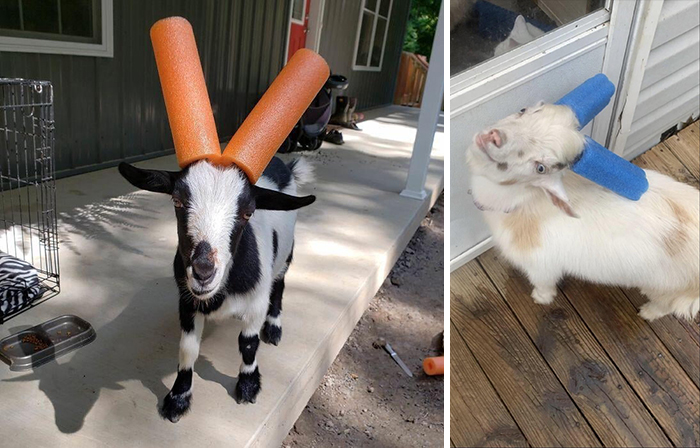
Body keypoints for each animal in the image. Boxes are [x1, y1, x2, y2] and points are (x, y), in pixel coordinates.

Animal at [119, 156, 315, 422]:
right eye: (177, 201)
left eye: (248, 212)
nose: (203, 273)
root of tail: (282, 164)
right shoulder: (187, 302)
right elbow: (188, 348)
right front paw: (178, 399)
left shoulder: (256, 301)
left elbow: (248, 343)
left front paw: (248, 386)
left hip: (286, 253)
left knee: (279, 285)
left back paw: (274, 328)